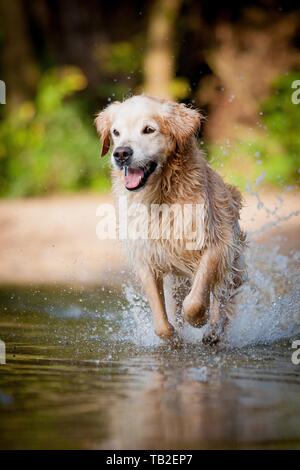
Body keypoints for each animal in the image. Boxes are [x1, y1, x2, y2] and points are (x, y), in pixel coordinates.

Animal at [96, 95, 246, 346]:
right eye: (116, 132)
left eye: (148, 130)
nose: (121, 153)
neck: (160, 195)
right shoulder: (146, 256)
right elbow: (161, 323)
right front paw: (173, 338)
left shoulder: (217, 242)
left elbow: (195, 299)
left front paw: (198, 319)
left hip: (231, 264)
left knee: (221, 300)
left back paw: (213, 331)